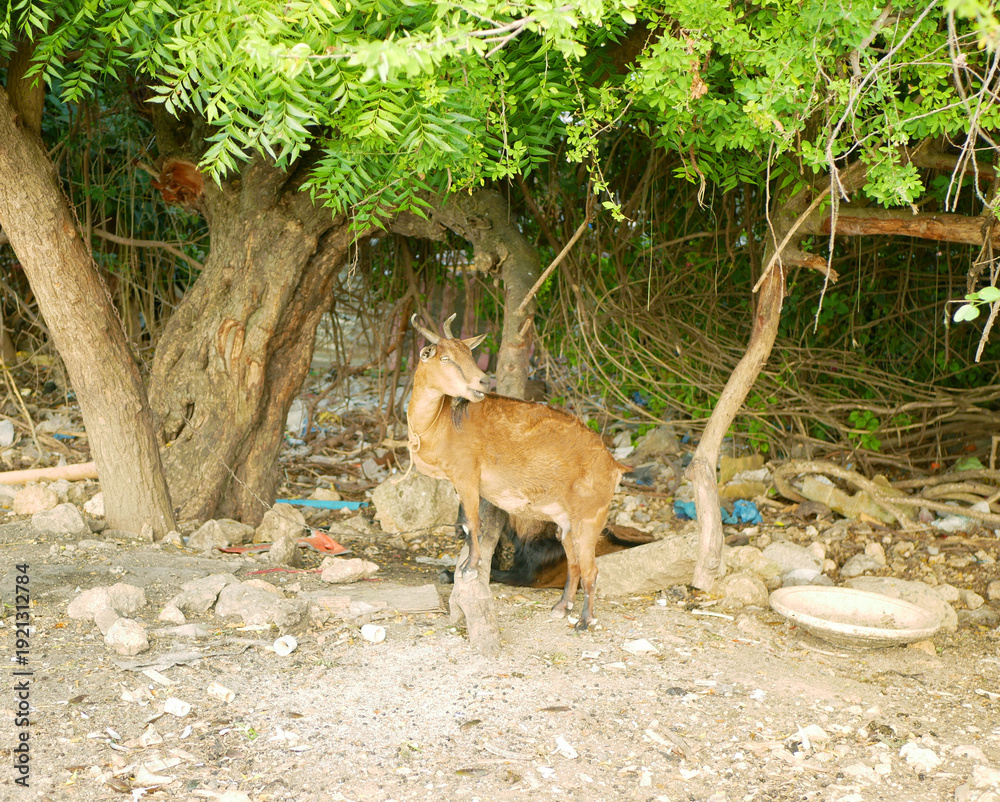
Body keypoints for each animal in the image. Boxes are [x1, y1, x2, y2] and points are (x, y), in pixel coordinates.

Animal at [407, 313, 630, 630]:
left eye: (470, 354)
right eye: (445, 357)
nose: (483, 380)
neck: (441, 423)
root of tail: (615, 466)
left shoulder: (466, 475)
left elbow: (473, 521)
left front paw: (469, 568)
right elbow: (468, 522)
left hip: (590, 517)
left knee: (591, 569)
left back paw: (585, 621)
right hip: (566, 524)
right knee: (574, 564)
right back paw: (561, 607)